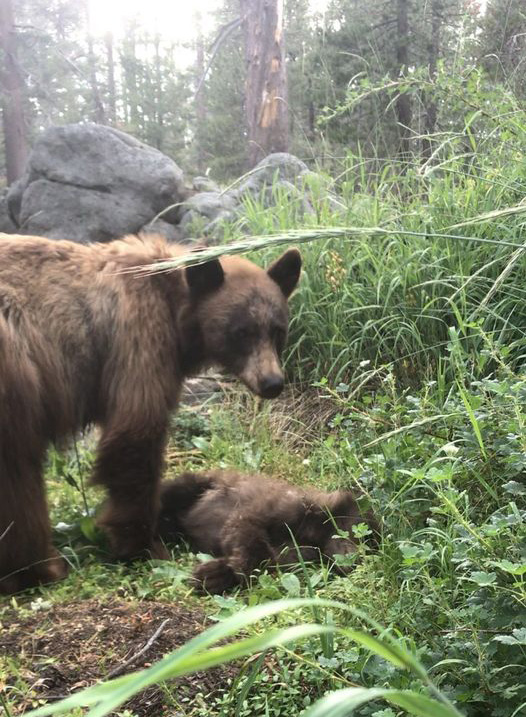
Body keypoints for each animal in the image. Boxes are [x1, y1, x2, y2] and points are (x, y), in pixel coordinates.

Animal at [0, 233, 301, 594]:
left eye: (278, 330)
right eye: (241, 331)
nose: (272, 383)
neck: (175, 304)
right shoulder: (139, 337)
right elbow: (135, 435)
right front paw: (143, 546)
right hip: (16, 373)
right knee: (18, 473)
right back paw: (39, 568)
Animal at [156, 470, 379, 593]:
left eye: (371, 548)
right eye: (362, 535)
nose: (356, 561)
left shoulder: (296, 554)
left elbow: (268, 563)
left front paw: (214, 575)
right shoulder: (268, 510)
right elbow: (248, 534)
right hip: (194, 485)